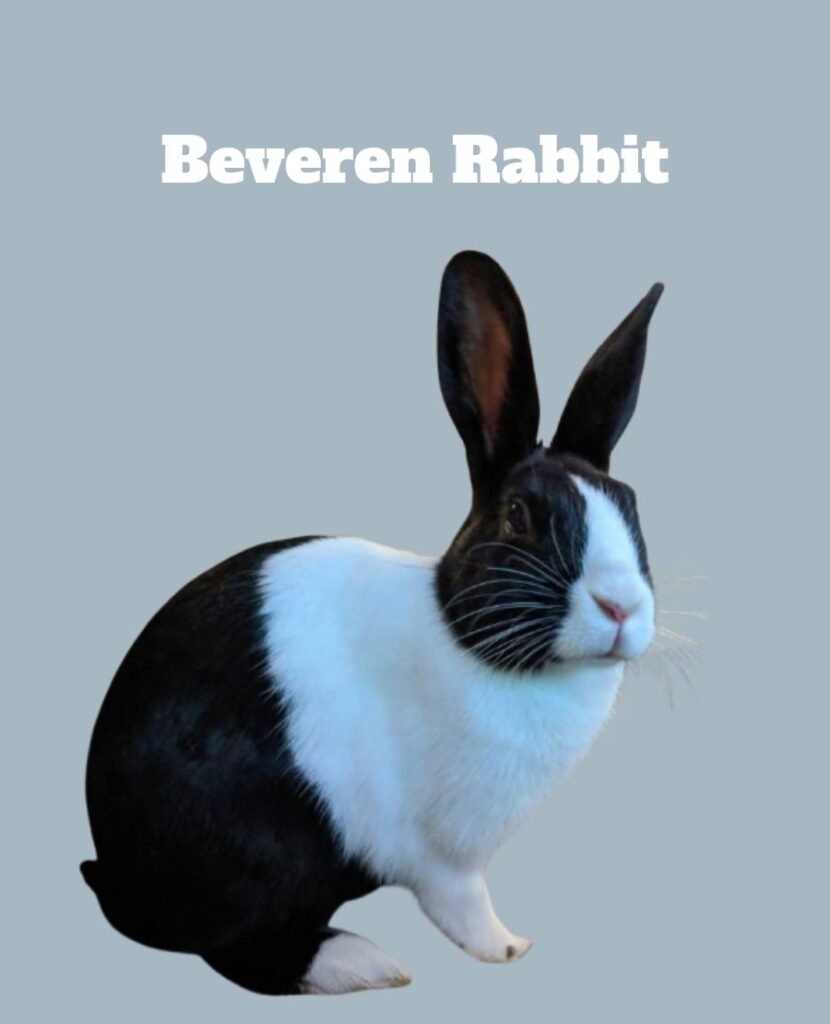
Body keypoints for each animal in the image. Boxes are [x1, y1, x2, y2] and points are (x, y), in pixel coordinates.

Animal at [82, 251, 664, 996]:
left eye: (632, 506)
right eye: (519, 517)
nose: (621, 608)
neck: (463, 638)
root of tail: (115, 868)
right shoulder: (445, 854)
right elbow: (462, 904)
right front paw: (509, 948)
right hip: (265, 853)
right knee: (238, 949)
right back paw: (362, 964)